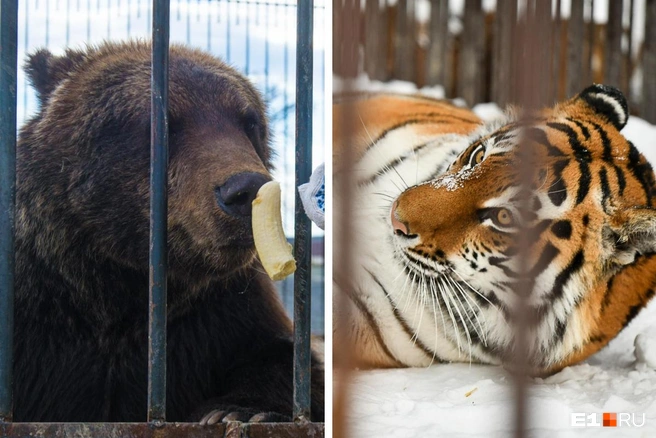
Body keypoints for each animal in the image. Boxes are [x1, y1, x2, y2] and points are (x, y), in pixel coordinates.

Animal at [14, 41, 324, 420]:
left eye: (249, 122)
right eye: (162, 123)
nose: (246, 189)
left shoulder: (221, 316)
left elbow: (284, 361)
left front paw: (240, 410)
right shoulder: (40, 311)